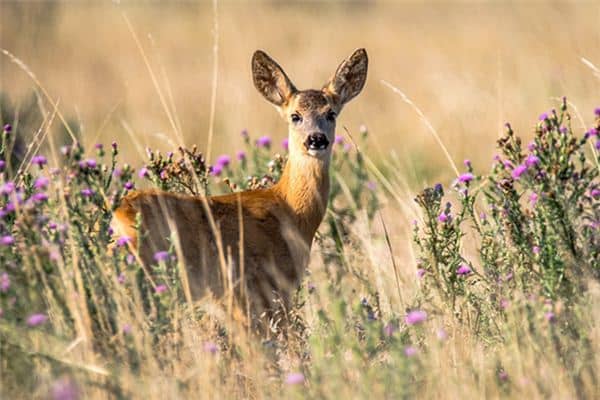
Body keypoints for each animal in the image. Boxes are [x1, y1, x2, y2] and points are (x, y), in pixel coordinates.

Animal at [110, 49, 368, 332]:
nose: (316, 139)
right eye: (295, 116)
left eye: (331, 113)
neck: (291, 211)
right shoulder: (261, 288)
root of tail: (119, 216)